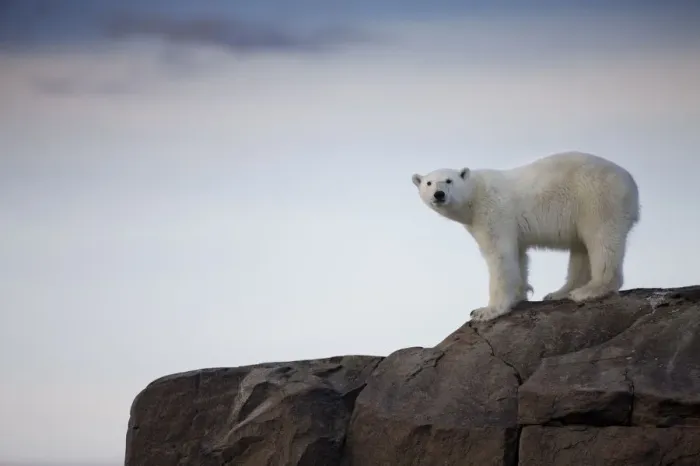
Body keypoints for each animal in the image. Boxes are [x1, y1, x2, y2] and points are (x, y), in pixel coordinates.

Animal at [411, 151, 640, 322]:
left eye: (448, 180)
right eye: (429, 183)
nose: (439, 194)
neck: (475, 195)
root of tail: (631, 182)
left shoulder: (493, 213)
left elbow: (500, 256)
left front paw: (485, 311)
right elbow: (518, 255)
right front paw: (519, 294)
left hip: (597, 198)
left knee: (601, 240)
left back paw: (590, 290)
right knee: (581, 249)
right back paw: (559, 292)